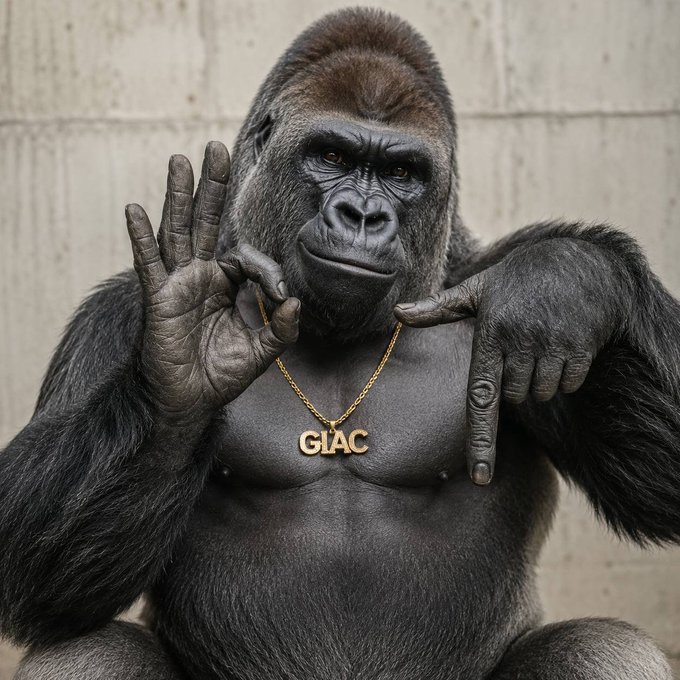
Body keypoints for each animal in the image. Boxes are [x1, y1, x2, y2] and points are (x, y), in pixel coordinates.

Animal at [1, 8, 679, 680]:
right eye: (329, 155)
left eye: (401, 173)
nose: (361, 216)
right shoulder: (112, 318)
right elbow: (30, 562)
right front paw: (184, 357)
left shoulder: (490, 286)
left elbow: (660, 484)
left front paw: (561, 283)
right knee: (95, 651)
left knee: (597, 648)